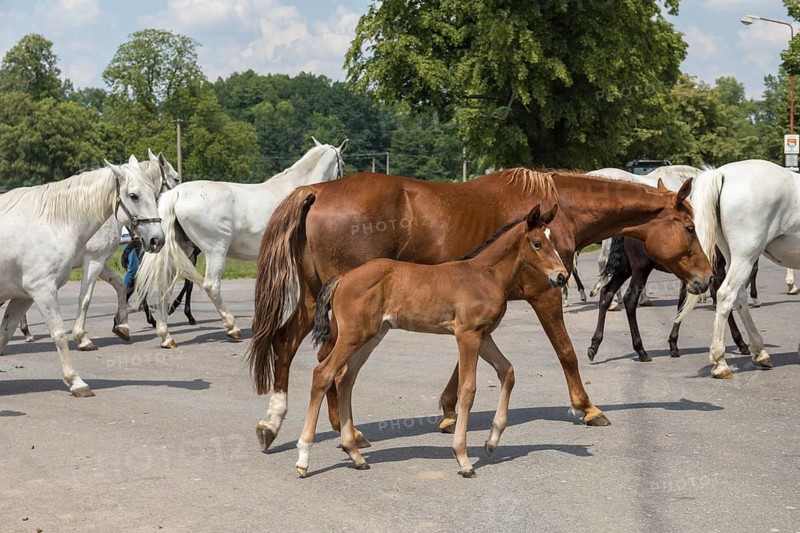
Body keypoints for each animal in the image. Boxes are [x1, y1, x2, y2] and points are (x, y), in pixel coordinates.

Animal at [0, 156, 165, 396]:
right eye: (134, 196)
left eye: (153, 192)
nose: (157, 240)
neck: (52, 224)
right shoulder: (45, 290)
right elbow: (60, 331)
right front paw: (76, 380)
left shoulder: (23, 297)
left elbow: (5, 333)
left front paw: (121, 326)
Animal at [132, 138, 347, 348]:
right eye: (343, 164)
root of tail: (177, 193)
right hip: (215, 252)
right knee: (211, 286)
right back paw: (231, 326)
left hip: (182, 250)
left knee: (164, 285)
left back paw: (165, 335)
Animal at [247, 168, 713, 450]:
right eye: (690, 227)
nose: (707, 278)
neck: (557, 211)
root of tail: (316, 190)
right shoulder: (546, 294)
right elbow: (566, 352)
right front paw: (588, 408)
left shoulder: (479, 308)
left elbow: (466, 365)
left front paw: (449, 410)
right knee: (328, 360)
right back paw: (341, 430)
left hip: (316, 300)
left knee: (288, 344)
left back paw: (278, 423)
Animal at [296, 204, 566, 478]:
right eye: (537, 243)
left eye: (553, 240)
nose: (562, 276)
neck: (485, 275)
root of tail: (343, 276)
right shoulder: (467, 335)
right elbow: (467, 389)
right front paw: (463, 459)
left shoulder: (484, 335)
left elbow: (507, 371)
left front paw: (491, 441)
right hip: (353, 335)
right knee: (323, 373)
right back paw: (304, 458)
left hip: (372, 336)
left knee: (345, 379)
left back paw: (355, 454)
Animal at [676, 159, 800, 378]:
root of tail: (722, 173)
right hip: (746, 255)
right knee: (726, 294)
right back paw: (720, 362)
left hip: (734, 256)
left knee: (739, 296)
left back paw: (760, 353)